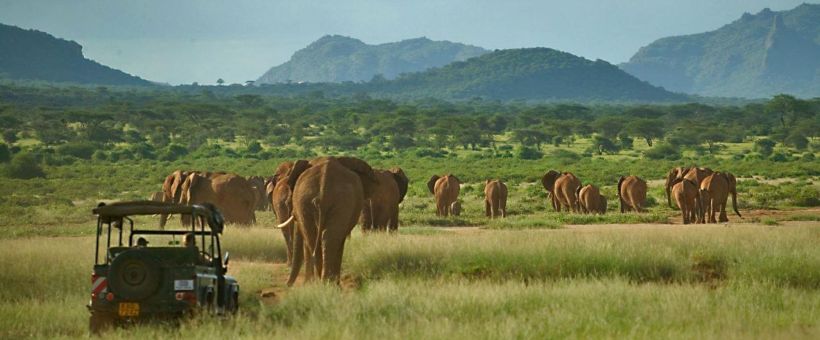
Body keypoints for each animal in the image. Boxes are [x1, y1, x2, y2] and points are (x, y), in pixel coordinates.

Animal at [276, 158, 378, 286]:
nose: (287, 285)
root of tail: (323, 187)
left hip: (321, 201)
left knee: (318, 238)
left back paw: (324, 283)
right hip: (312, 201)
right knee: (323, 238)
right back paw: (325, 283)